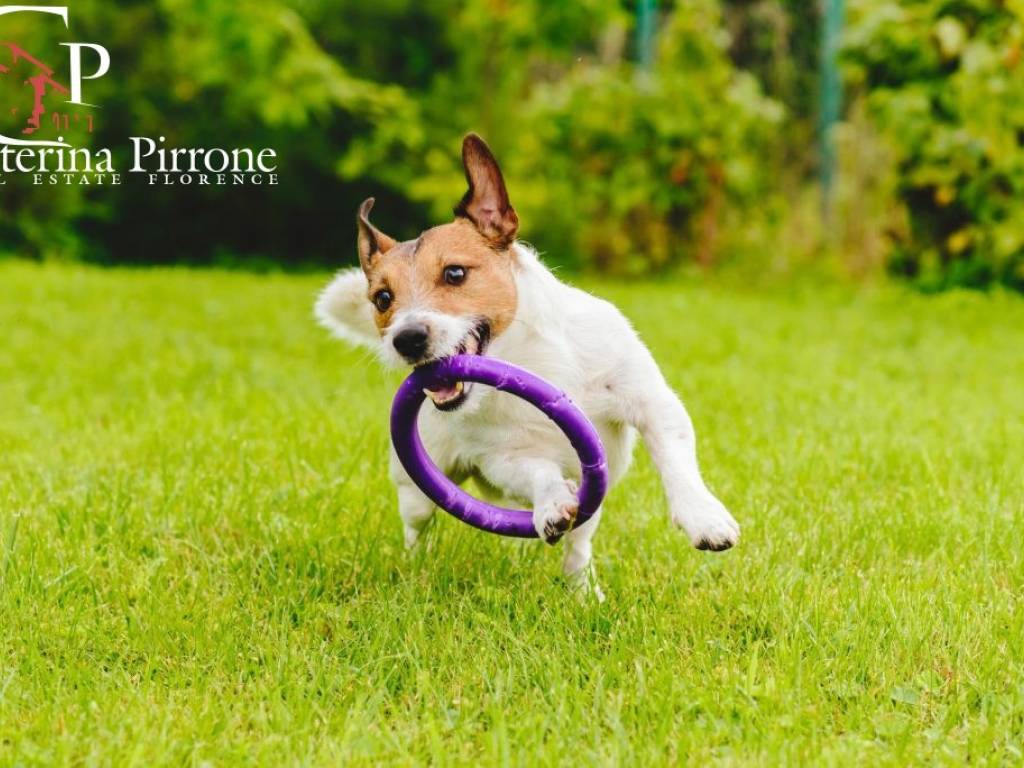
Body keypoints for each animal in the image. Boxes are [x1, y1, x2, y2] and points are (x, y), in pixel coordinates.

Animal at [315, 135, 741, 598]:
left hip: (591, 504)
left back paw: (583, 591)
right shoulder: (504, 458)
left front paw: (704, 518)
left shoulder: (650, 400)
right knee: (418, 524)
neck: (528, 360)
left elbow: (674, 457)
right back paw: (418, 568)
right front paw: (552, 501)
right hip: (417, 483)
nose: (406, 339)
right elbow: (540, 473)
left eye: (455, 273)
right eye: (382, 299)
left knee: (578, 545)